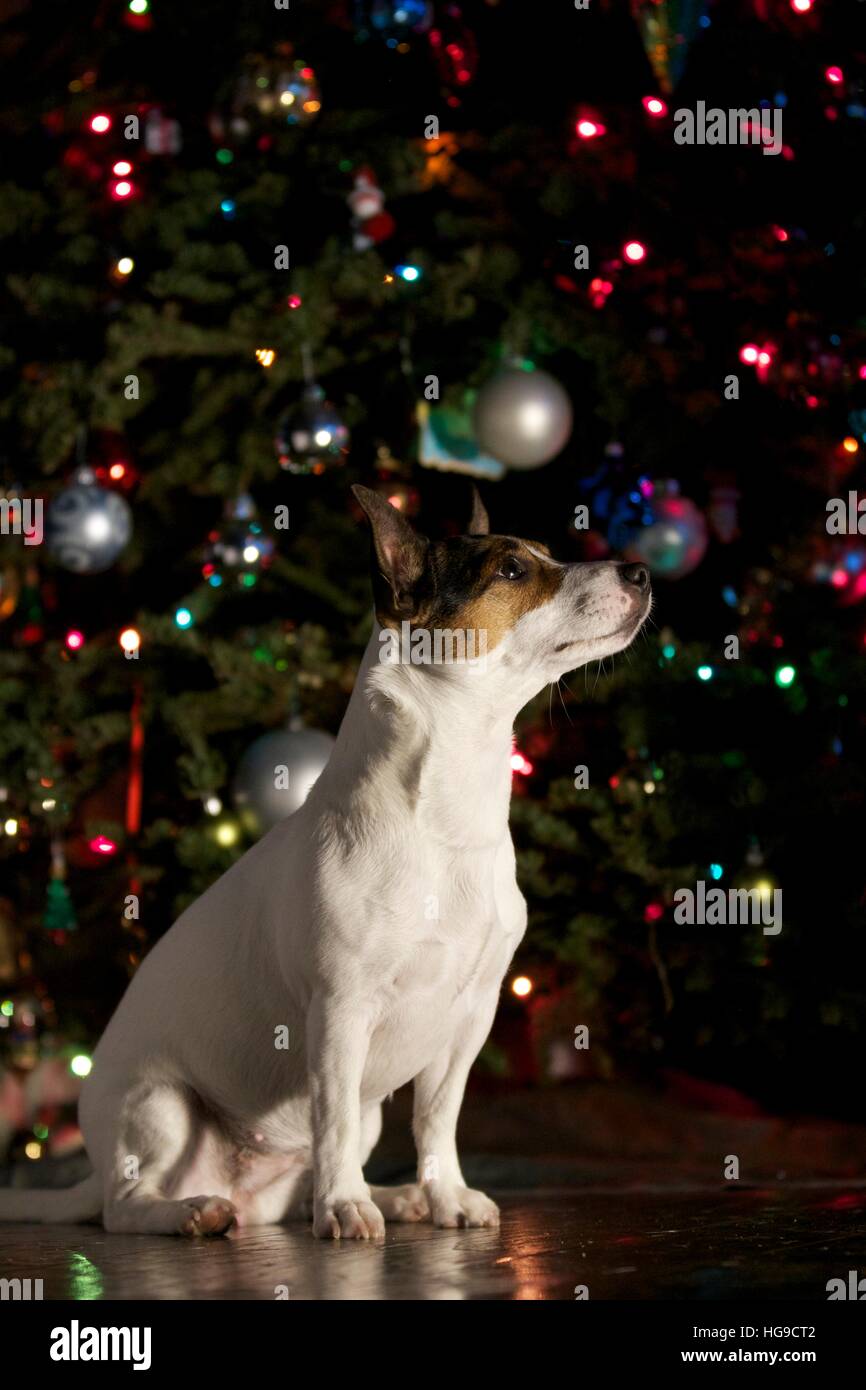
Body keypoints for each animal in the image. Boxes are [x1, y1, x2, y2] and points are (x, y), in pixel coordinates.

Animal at [0, 486, 650, 1239]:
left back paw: (394, 1197)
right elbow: (330, 1115)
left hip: (355, 1125)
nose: (641, 572)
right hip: (159, 1105)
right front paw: (346, 1209)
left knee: (299, 1189)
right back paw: (200, 1211)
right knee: (125, 1207)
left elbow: (437, 1119)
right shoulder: (341, 1010)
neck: (446, 817)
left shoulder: (471, 1017)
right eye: (512, 569)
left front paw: (446, 1195)